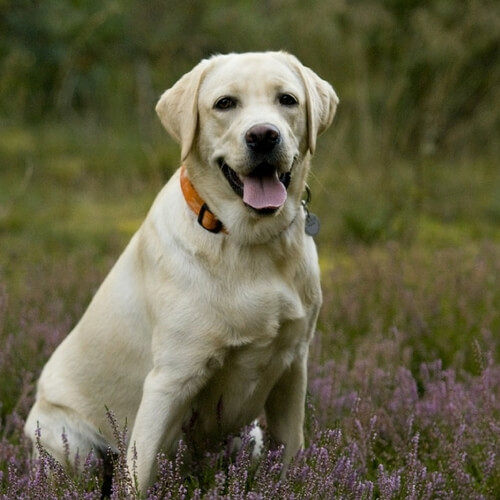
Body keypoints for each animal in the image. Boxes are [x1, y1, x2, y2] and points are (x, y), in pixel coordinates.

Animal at [22, 50, 336, 492]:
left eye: (287, 99)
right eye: (225, 103)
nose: (263, 135)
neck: (249, 241)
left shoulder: (293, 367)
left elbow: (291, 452)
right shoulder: (170, 379)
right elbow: (138, 475)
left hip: (250, 436)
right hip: (71, 445)